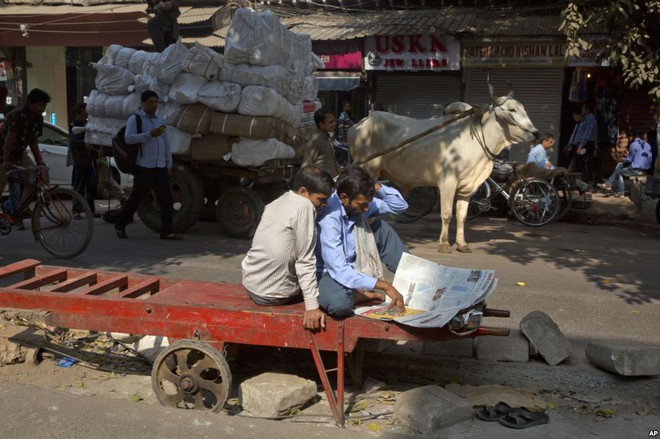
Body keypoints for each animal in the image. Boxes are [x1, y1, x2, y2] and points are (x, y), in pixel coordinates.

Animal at [348, 87, 540, 253]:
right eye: (512, 110)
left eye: (523, 108)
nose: (536, 133)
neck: (478, 138)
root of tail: (358, 125)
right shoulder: (448, 182)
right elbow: (447, 214)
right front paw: (444, 244)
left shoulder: (467, 187)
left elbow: (461, 216)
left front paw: (462, 244)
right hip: (368, 169)